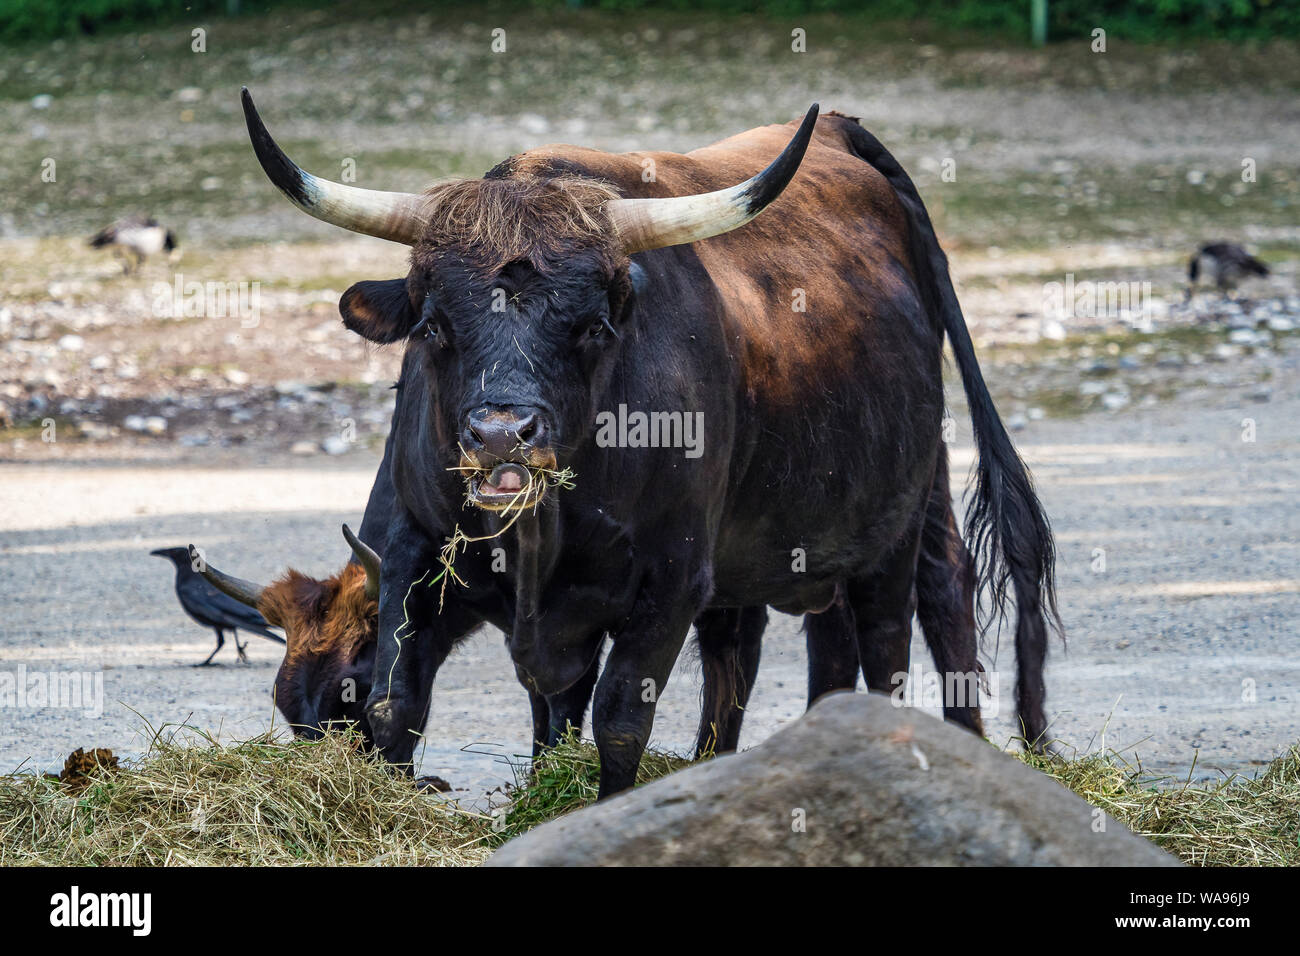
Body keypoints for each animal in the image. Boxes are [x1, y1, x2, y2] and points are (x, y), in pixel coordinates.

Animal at [244, 89, 1055, 796]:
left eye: (594, 326)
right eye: (434, 325)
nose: (503, 435)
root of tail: (841, 131)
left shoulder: (673, 580)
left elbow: (619, 721)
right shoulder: (419, 552)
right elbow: (427, 706)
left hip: (890, 523)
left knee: (910, 617)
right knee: (827, 639)